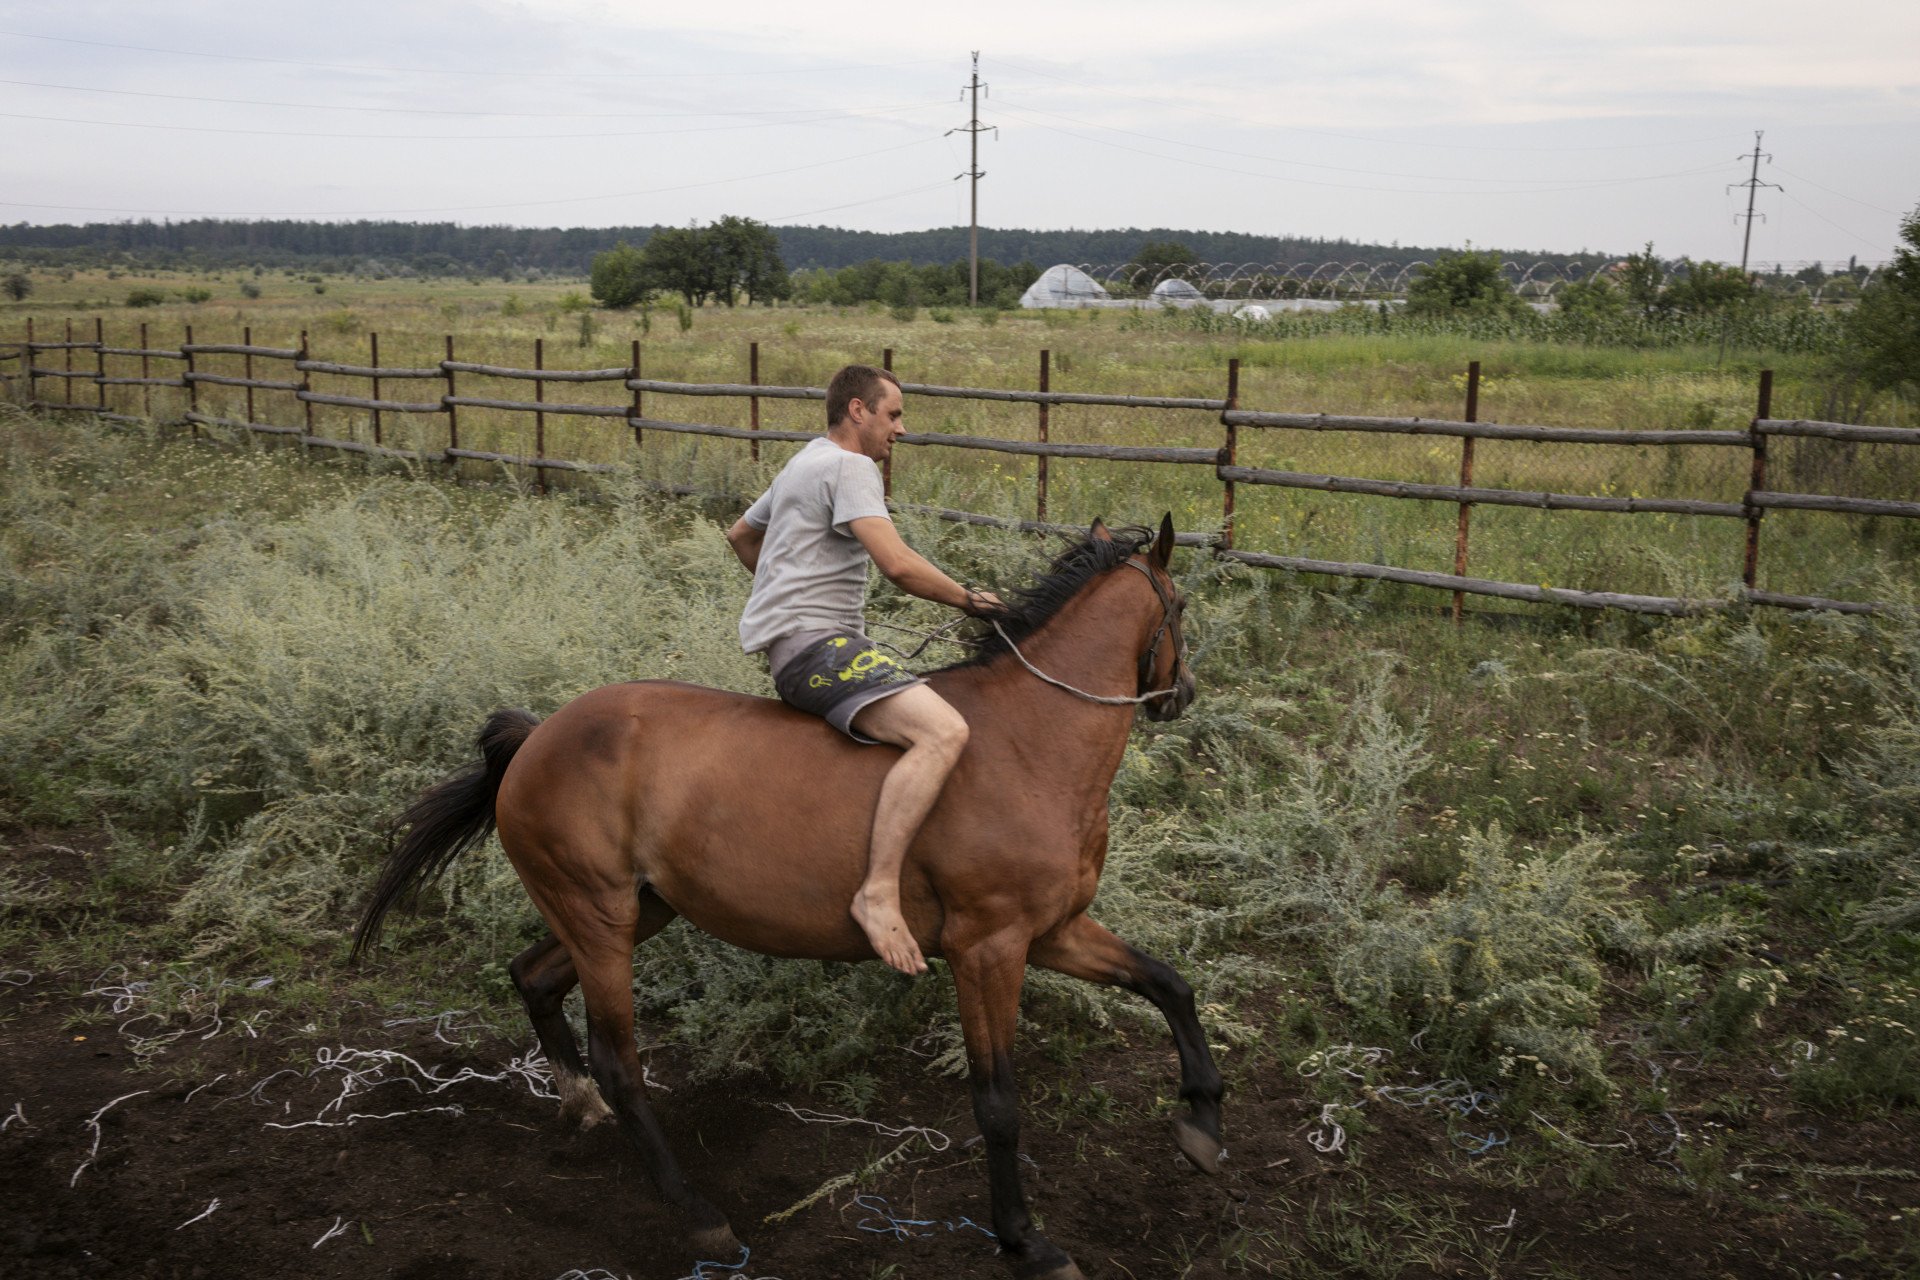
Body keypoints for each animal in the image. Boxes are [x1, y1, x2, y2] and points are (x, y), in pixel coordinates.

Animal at [351, 515, 1223, 1280]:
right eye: (1181, 607)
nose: (1181, 692)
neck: (1030, 742)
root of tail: (538, 736)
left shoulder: (1054, 931)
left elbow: (1170, 984)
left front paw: (1202, 1125)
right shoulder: (990, 948)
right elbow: (998, 1102)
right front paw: (1026, 1242)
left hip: (630, 911)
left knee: (532, 978)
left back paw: (577, 1105)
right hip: (600, 920)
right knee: (620, 1063)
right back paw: (700, 1216)